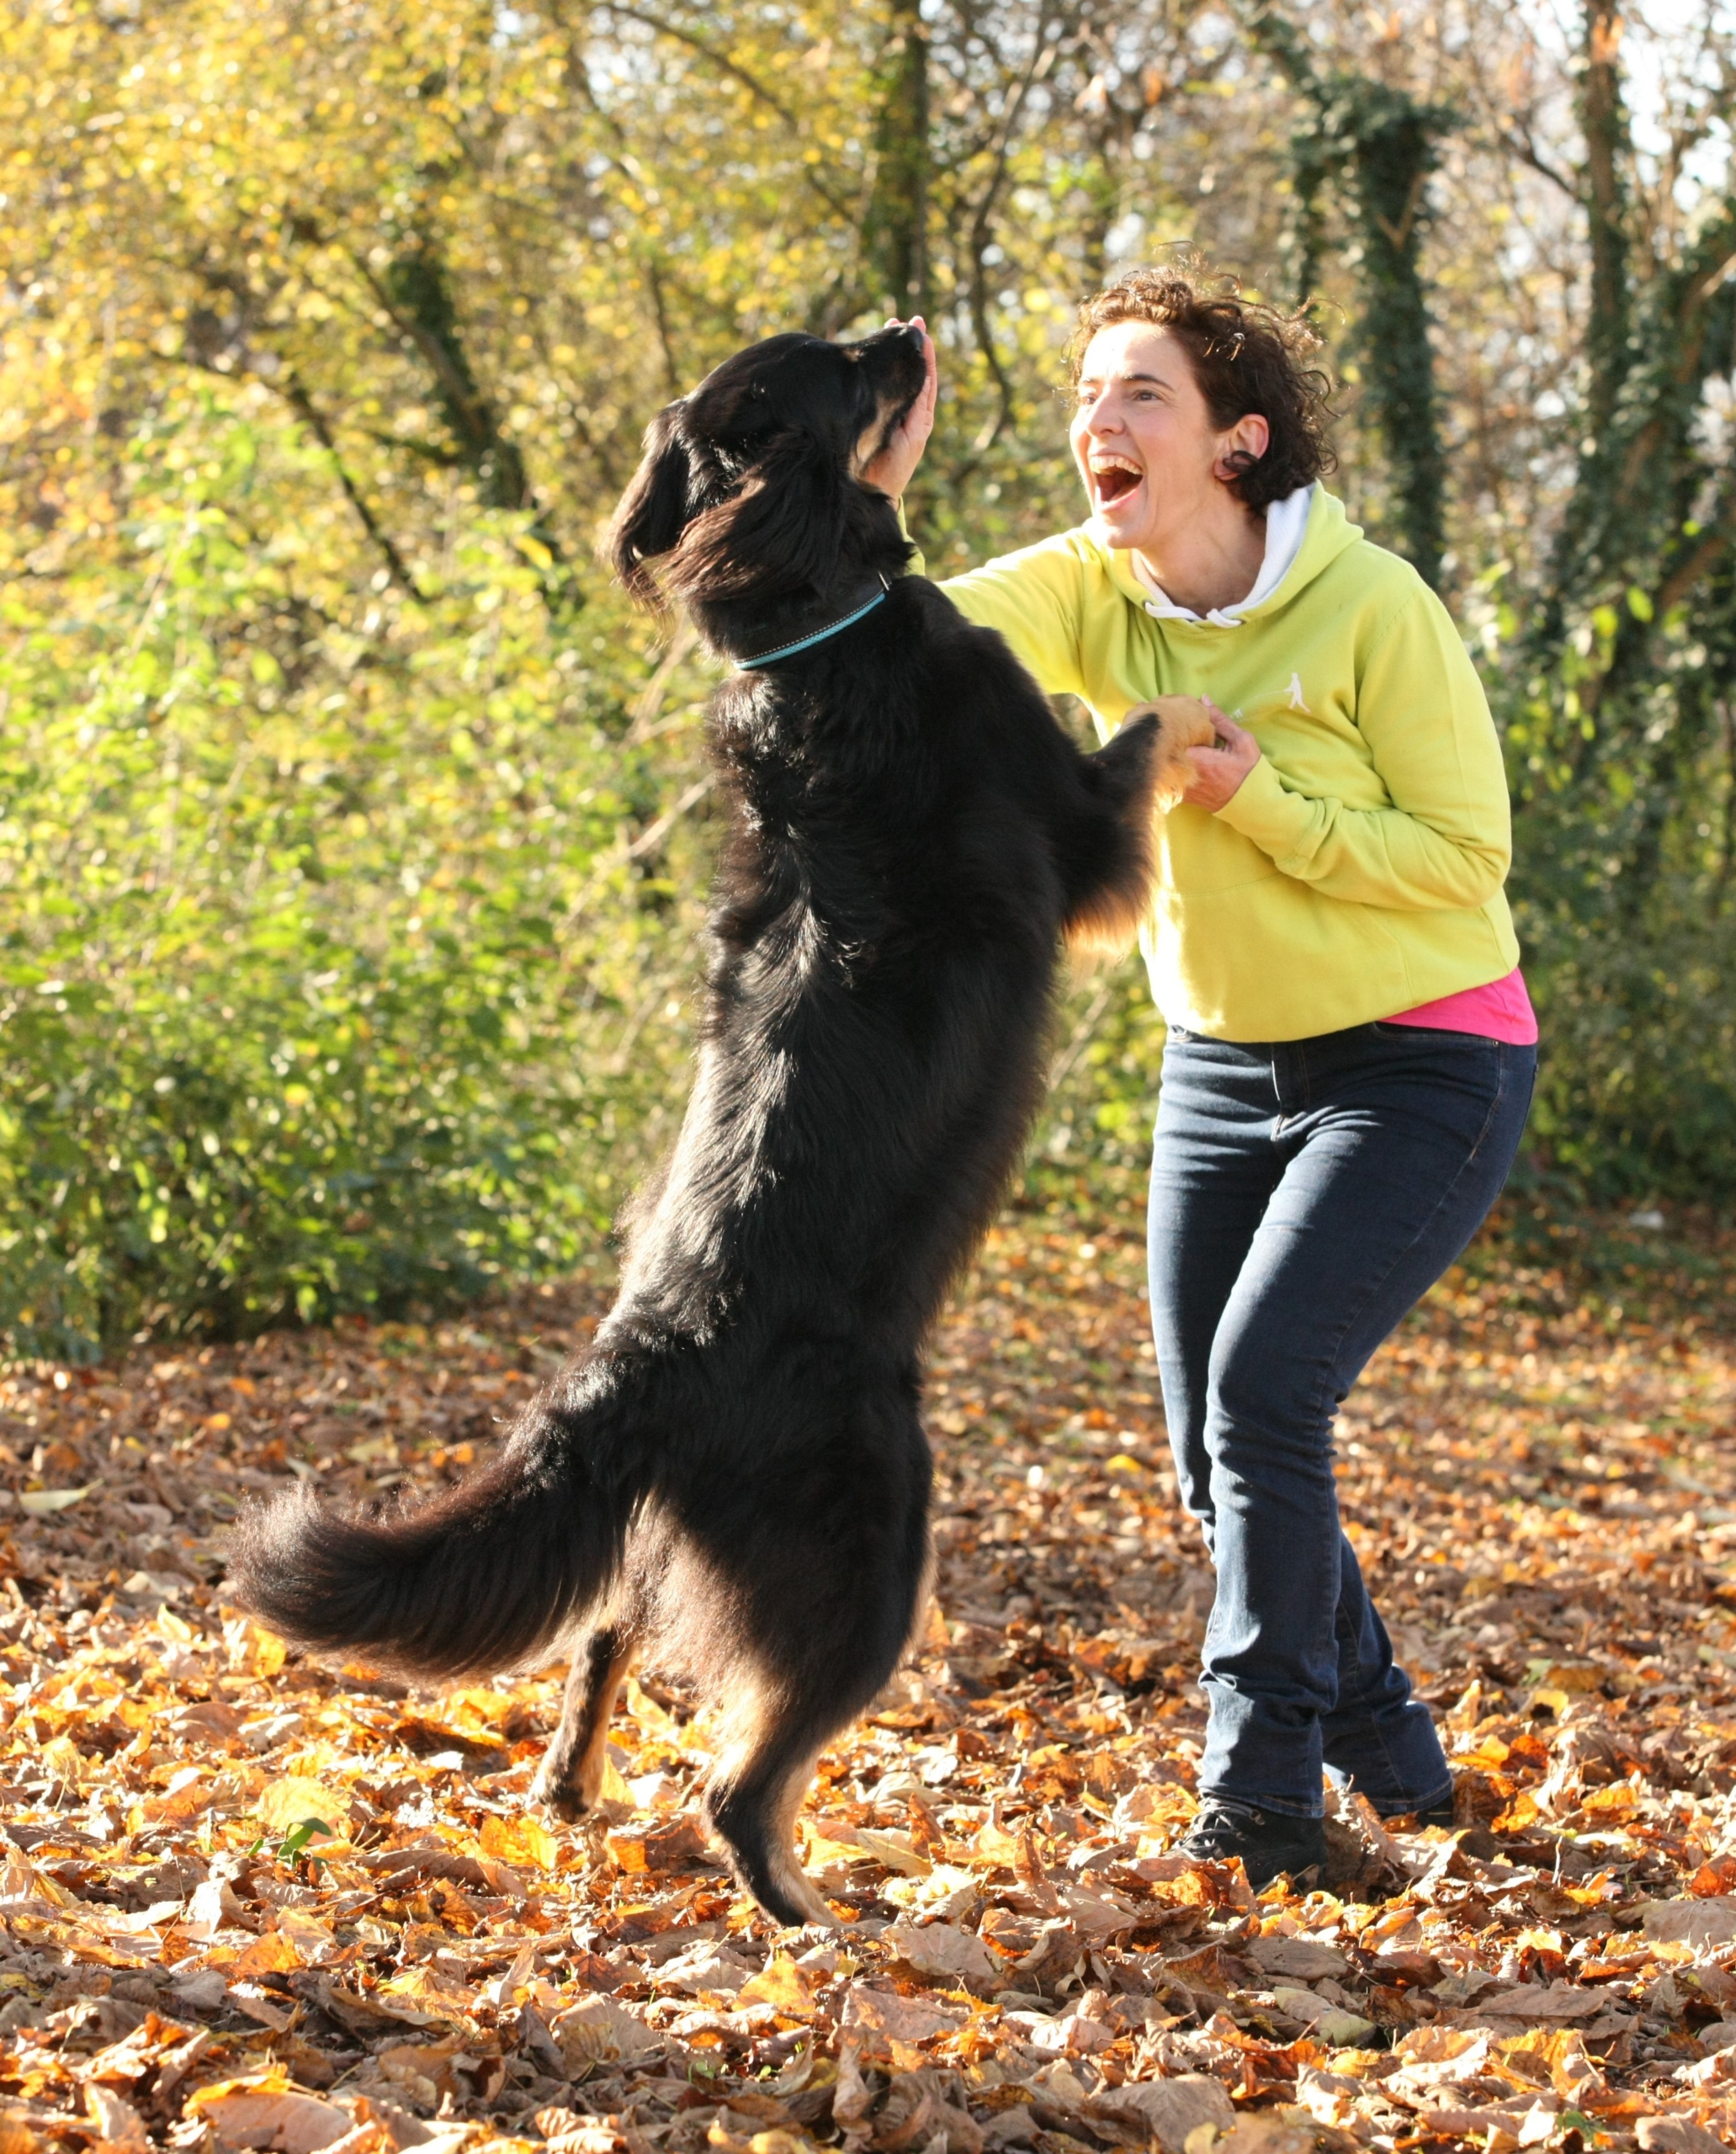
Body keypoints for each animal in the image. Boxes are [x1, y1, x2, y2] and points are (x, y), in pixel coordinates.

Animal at [237, 327, 1206, 1929]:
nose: (905, 327)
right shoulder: (1075, 825)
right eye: (840, 369)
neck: (810, 635)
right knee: (739, 1782)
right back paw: (818, 1922)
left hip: (670, 1553)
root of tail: (647, 1355)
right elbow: (1143, 740)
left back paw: (571, 1795)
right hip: (881, 1550)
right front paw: (1208, 709)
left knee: (600, 1652)